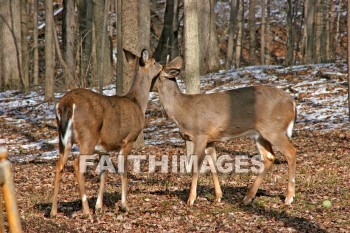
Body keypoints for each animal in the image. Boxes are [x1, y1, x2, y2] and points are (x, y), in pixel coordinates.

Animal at [50, 48, 163, 219]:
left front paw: (99, 206)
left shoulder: (104, 148)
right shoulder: (128, 140)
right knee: (77, 165)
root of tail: (67, 103)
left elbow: (104, 172)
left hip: (63, 139)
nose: (162, 66)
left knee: (59, 164)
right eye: (155, 61)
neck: (137, 103)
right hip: (87, 137)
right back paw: (86, 212)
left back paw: (53, 211)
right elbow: (123, 170)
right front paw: (125, 205)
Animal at [157, 56, 296, 206]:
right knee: (269, 157)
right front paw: (218, 197)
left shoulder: (200, 134)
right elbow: (213, 165)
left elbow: (196, 167)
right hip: (260, 134)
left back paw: (289, 197)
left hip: (274, 130)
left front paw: (191, 199)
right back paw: (247, 198)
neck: (182, 110)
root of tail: (292, 103)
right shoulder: (210, 139)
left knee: (291, 152)